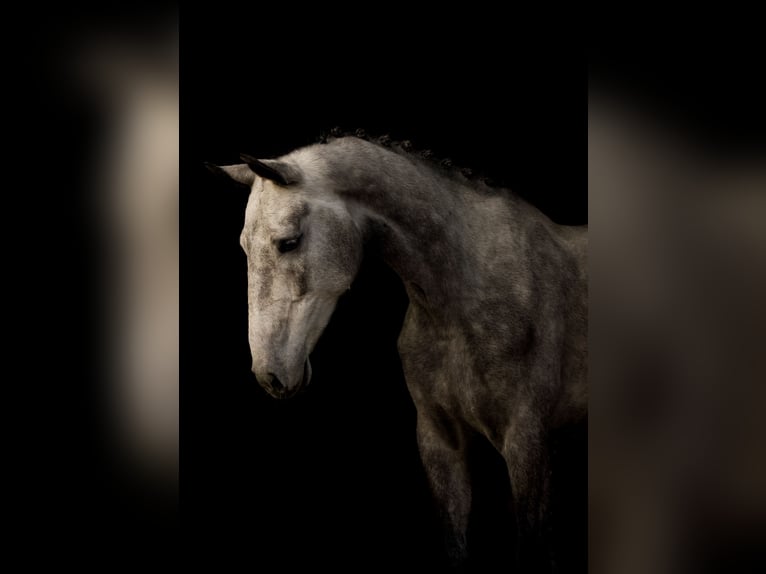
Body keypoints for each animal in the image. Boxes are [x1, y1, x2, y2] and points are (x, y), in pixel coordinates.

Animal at [208, 135, 587, 569]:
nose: (269, 375)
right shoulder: (440, 441)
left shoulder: (528, 442)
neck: (468, 296)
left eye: (287, 242)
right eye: (243, 247)